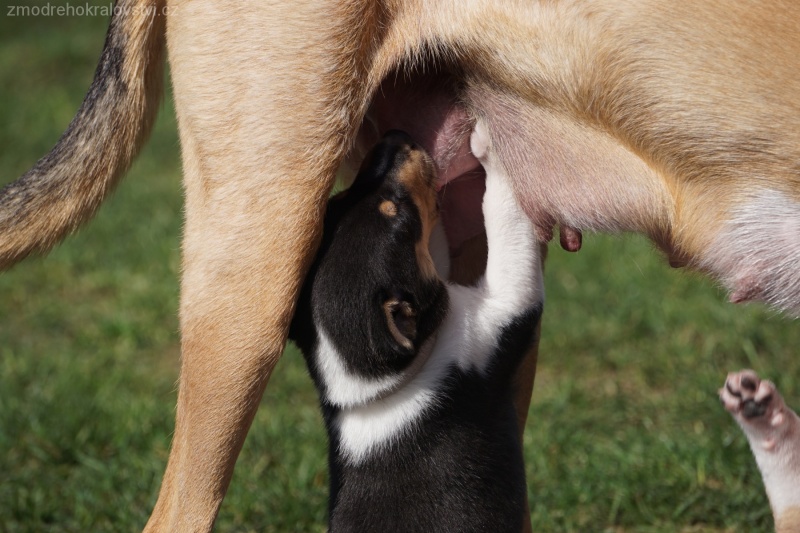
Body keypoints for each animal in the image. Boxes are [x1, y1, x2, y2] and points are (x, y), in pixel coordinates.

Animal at [290, 127, 544, 528]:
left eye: (339, 198)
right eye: (396, 213)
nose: (396, 136)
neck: (377, 386)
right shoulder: (503, 310)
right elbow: (504, 218)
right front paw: (490, 146)